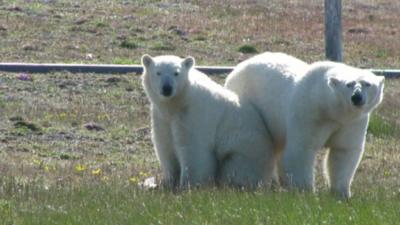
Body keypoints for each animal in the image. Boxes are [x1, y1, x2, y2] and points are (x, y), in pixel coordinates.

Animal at [141, 54, 276, 190]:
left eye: (176, 73)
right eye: (158, 72)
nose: (167, 88)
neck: (178, 103)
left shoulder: (193, 115)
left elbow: (193, 149)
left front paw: (187, 185)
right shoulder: (161, 117)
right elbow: (165, 146)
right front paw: (168, 183)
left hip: (245, 150)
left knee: (236, 170)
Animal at [225, 51, 384, 198]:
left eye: (367, 84)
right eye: (348, 84)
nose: (356, 97)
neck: (328, 107)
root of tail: (237, 67)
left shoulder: (352, 122)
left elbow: (344, 151)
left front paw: (342, 193)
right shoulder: (309, 112)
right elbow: (302, 148)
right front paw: (305, 190)